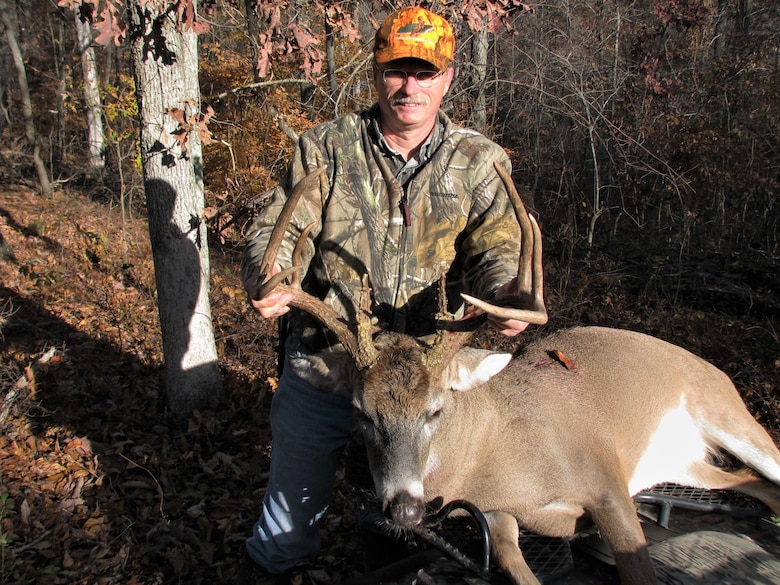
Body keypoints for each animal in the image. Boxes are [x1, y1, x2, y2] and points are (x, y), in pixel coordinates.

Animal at [250, 163, 780, 584]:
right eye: (361, 413)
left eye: (436, 410)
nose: (404, 508)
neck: (496, 454)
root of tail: (700, 361)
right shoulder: (498, 514)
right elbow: (511, 561)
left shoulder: (606, 481)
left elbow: (639, 570)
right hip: (685, 463)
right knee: (755, 484)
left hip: (726, 410)